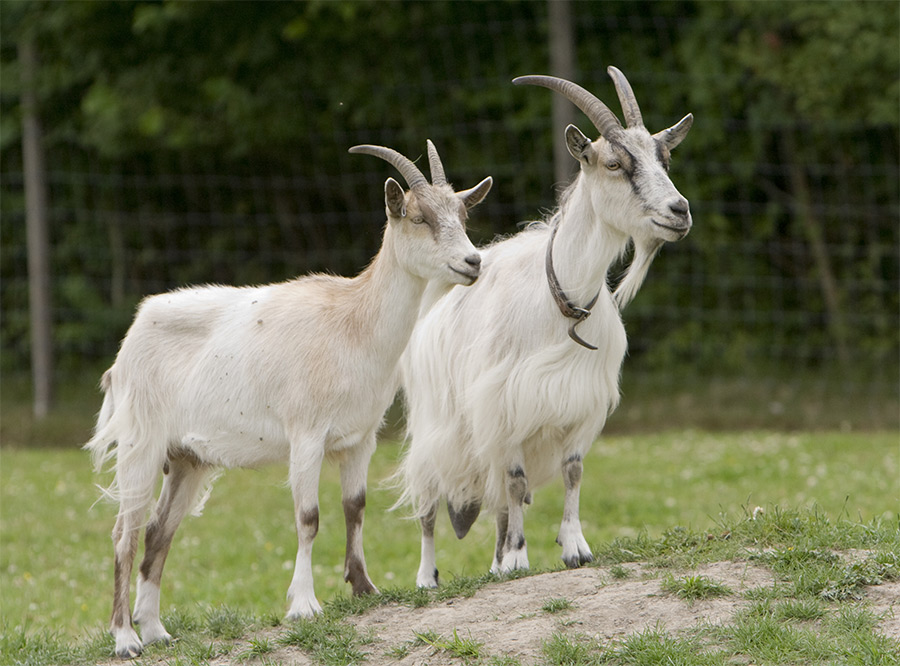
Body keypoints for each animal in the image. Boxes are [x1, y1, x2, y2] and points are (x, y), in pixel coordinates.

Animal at [86, 140, 492, 652]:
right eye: (418, 217)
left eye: (462, 213)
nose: (473, 262)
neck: (353, 324)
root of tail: (130, 341)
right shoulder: (307, 435)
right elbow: (308, 516)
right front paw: (304, 605)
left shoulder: (360, 439)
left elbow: (355, 508)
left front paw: (365, 587)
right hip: (140, 445)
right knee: (125, 533)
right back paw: (126, 638)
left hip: (187, 459)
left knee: (159, 532)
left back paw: (158, 631)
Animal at [400, 68, 696, 588]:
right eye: (614, 163)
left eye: (665, 157)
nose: (679, 211)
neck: (562, 303)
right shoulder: (504, 405)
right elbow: (516, 481)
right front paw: (520, 558)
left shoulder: (580, 401)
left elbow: (571, 473)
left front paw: (574, 547)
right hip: (435, 426)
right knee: (430, 504)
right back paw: (429, 577)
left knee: (497, 499)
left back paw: (496, 562)